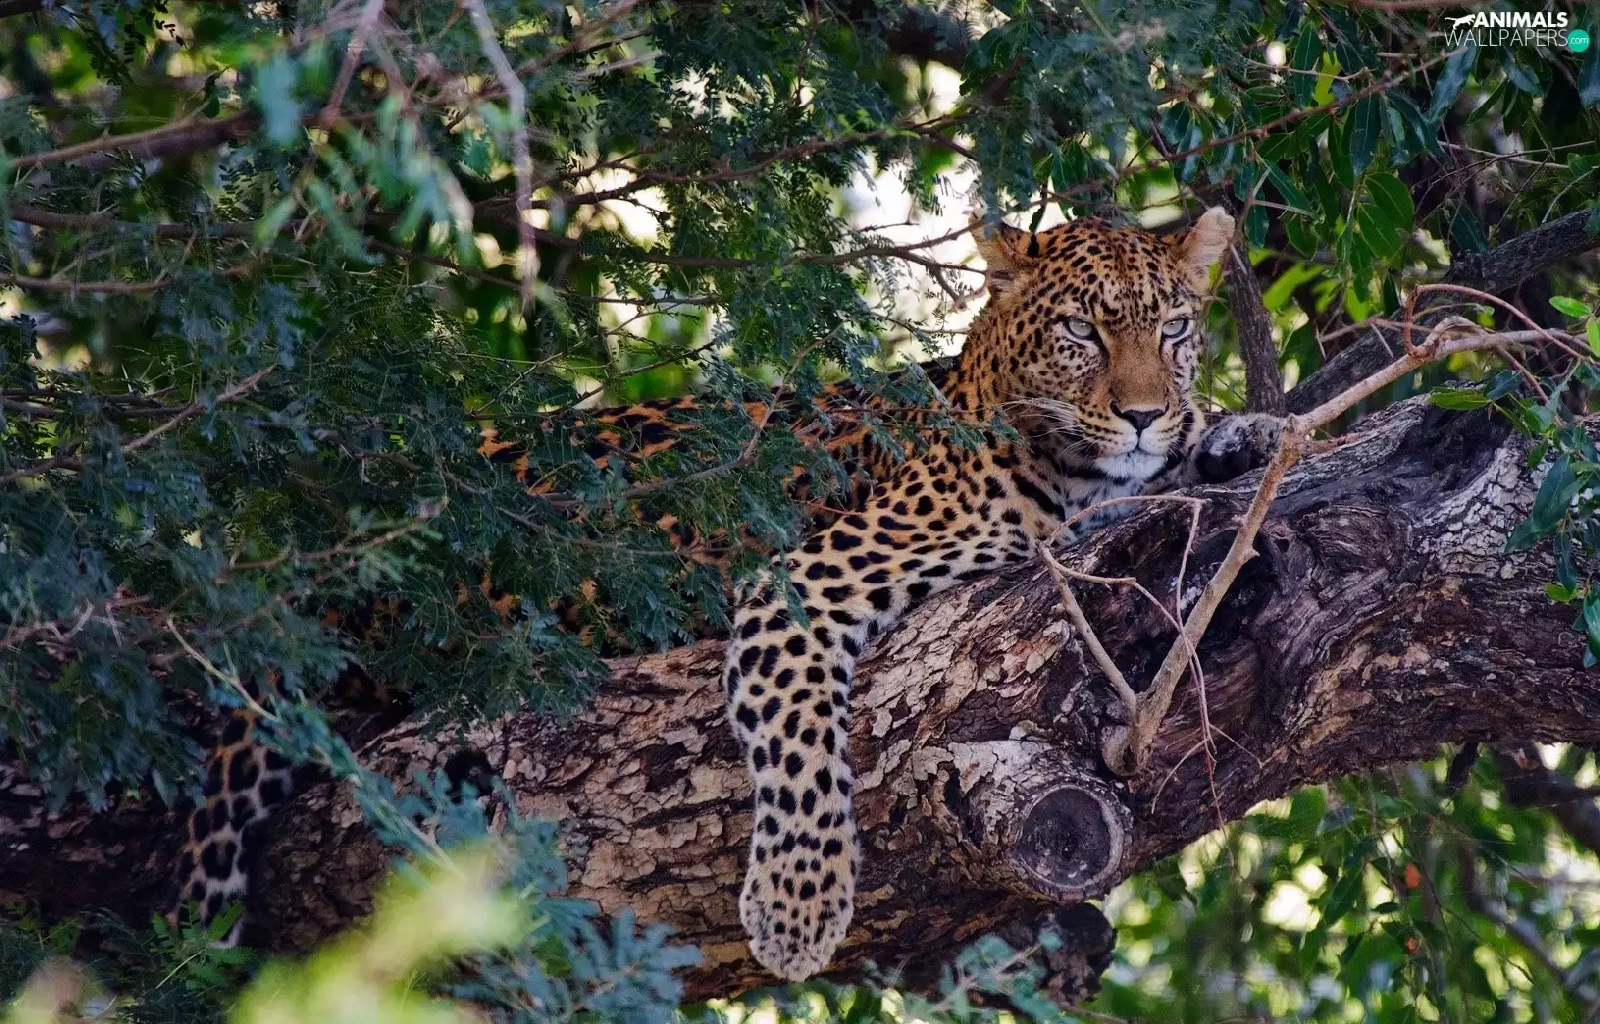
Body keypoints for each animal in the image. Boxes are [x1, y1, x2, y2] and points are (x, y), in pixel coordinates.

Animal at [175, 206, 1281, 967]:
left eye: (1173, 328)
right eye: (1082, 332)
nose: (1142, 413)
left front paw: (1245, 431)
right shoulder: (805, 579)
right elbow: (798, 748)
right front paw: (797, 907)